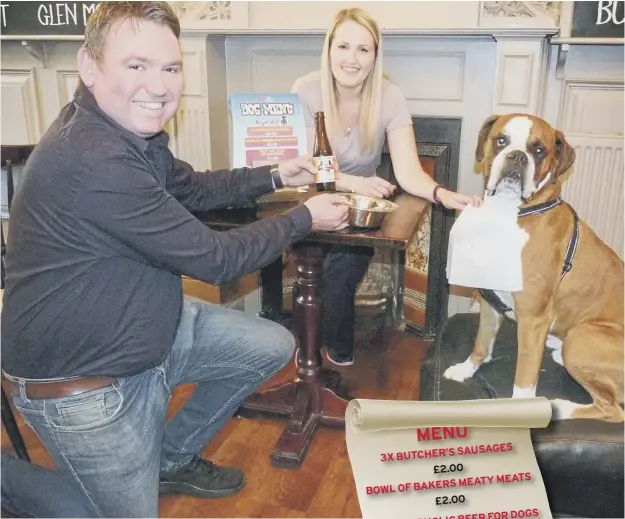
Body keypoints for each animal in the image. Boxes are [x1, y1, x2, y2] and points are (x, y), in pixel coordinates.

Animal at [442, 114, 620, 422]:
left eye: (539, 150)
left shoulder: (532, 319)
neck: (508, 213)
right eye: (501, 140)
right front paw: (466, 369)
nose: (517, 156)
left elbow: (524, 379)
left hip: (583, 337)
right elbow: (481, 343)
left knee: (613, 409)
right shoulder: (490, 302)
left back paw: (560, 406)